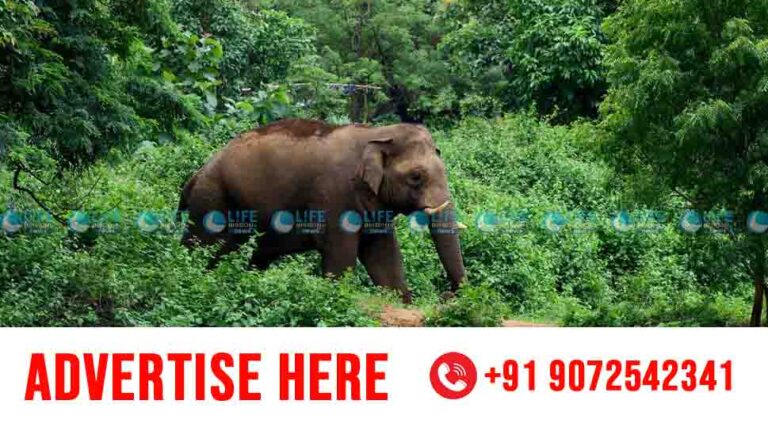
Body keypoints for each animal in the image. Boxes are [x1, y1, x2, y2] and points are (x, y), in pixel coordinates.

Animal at [178, 118, 466, 303]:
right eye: (416, 177)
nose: (446, 295)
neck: (377, 133)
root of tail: (193, 177)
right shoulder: (334, 197)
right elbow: (340, 256)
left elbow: (384, 256)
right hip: (211, 204)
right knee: (201, 251)